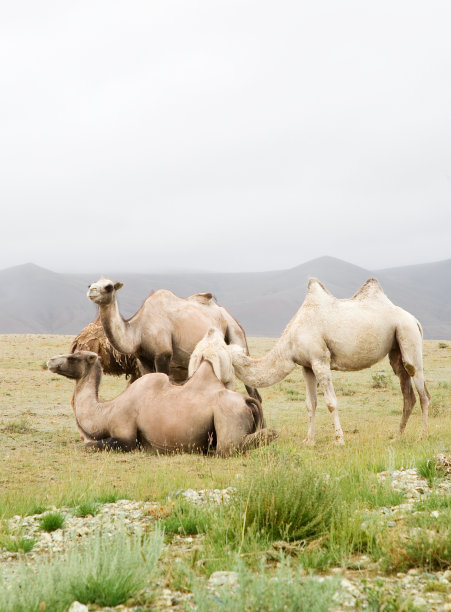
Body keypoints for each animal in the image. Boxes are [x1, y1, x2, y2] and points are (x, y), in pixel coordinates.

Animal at [47, 350, 278, 454]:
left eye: (73, 357)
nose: (50, 361)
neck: (106, 411)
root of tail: (245, 401)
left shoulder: (126, 433)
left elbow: (90, 445)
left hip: (229, 416)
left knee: (238, 444)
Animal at [87, 278, 262, 402]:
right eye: (91, 283)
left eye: (109, 286)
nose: (91, 291)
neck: (138, 329)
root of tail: (229, 316)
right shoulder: (143, 360)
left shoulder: (163, 354)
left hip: (236, 335)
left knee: (253, 392)